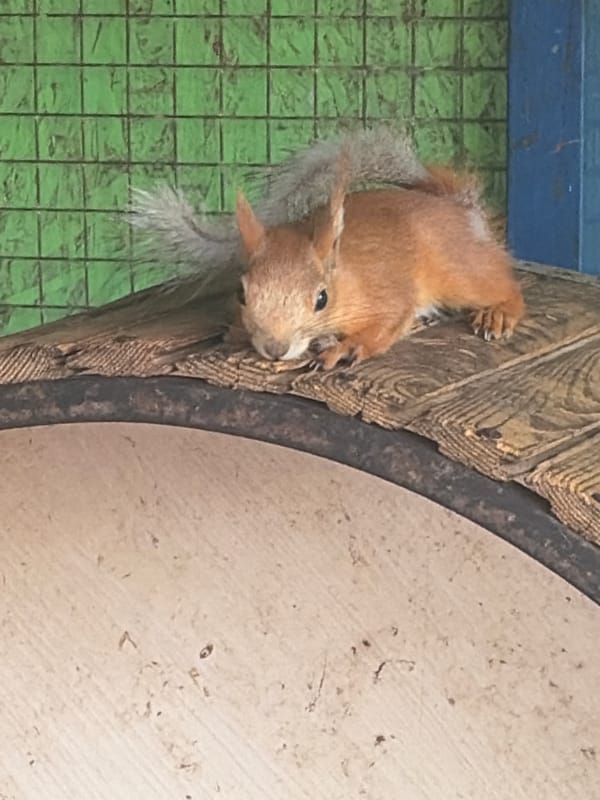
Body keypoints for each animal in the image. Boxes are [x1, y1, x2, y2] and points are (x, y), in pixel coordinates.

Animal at [127, 127, 525, 370]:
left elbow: (387, 323)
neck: (346, 275)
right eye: (242, 295)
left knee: (506, 286)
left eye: (322, 299)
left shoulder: (388, 293)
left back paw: (498, 313)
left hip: (459, 273)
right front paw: (239, 332)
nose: (275, 348)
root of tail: (458, 208)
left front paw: (348, 347)